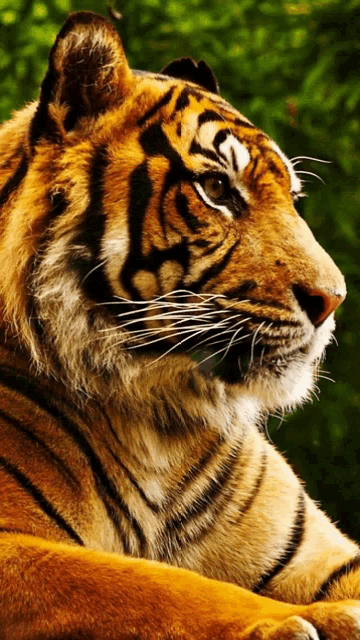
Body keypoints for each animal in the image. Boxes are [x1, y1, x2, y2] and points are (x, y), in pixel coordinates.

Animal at [0, 7, 360, 636]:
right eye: (216, 188)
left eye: (292, 199)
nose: (332, 299)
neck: (158, 423)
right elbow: (151, 585)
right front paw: (299, 621)